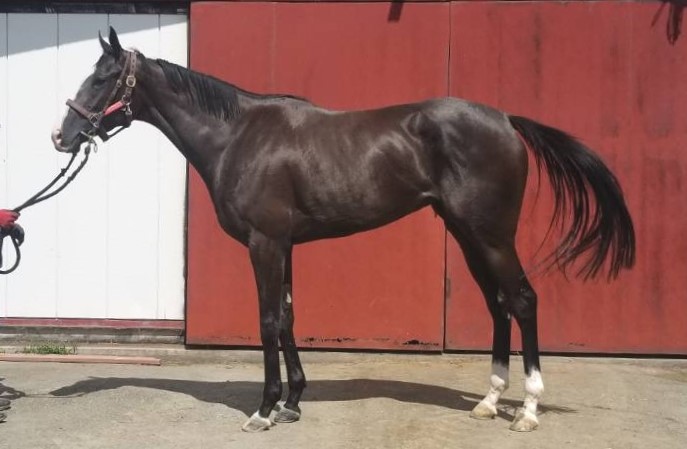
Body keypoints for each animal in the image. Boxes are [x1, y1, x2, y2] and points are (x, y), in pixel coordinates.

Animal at [52, 28, 635, 433]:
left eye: (102, 78)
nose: (62, 135)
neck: (238, 134)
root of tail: (507, 120)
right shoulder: (284, 245)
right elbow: (288, 317)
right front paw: (291, 403)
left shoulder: (265, 244)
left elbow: (267, 321)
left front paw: (264, 409)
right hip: (469, 235)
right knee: (498, 304)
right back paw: (491, 402)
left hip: (491, 235)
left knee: (523, 300)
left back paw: (528, 410)